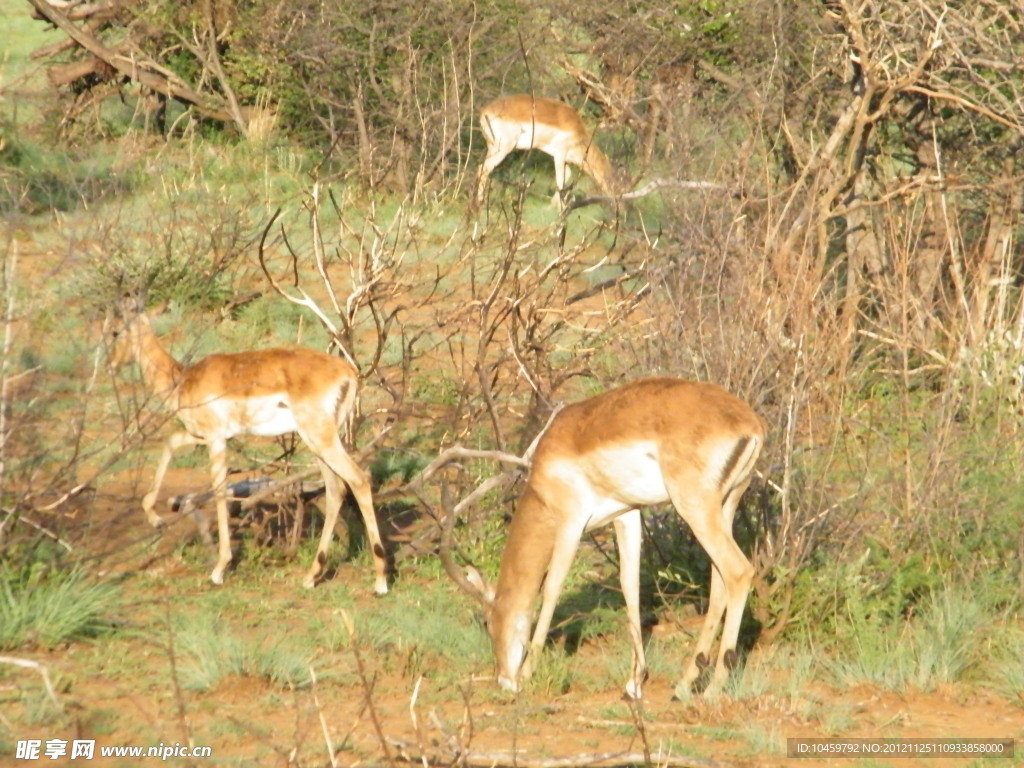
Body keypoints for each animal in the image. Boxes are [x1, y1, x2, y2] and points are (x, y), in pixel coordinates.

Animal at [108, 301, 387, 593]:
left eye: (115, 331)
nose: (111, 365)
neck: (183, 378)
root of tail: (349, 374)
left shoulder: (216, 439)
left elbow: (220, 492)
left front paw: (219, 569)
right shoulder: (201, 435)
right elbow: (170, 443)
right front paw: (156, 518)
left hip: (320, 439)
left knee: (358, 480)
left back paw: (380, 580)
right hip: (321, 442)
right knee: (336, 489)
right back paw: (312, 575)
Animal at [444, 378, 765, 704]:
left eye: (488, 622)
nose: (503, 680)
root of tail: (751, 425)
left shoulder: (571, 522)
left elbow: (553, 587)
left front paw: (526, 674)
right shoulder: (627, 514)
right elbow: (629, 585)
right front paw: (634, 683)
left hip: (694, 507)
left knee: (738, 571)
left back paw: (712, 690)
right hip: (725, 506)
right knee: (719, 581)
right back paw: (684, 685)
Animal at [473, 95, 614, 210]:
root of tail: (486, 111)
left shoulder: (565, 160)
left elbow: (567, 176)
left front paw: (553, 205)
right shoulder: (559, 155)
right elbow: (560, 180)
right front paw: (560, 208)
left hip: (492, 148)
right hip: (503, 149)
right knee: (483, 168)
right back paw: (480, 203)